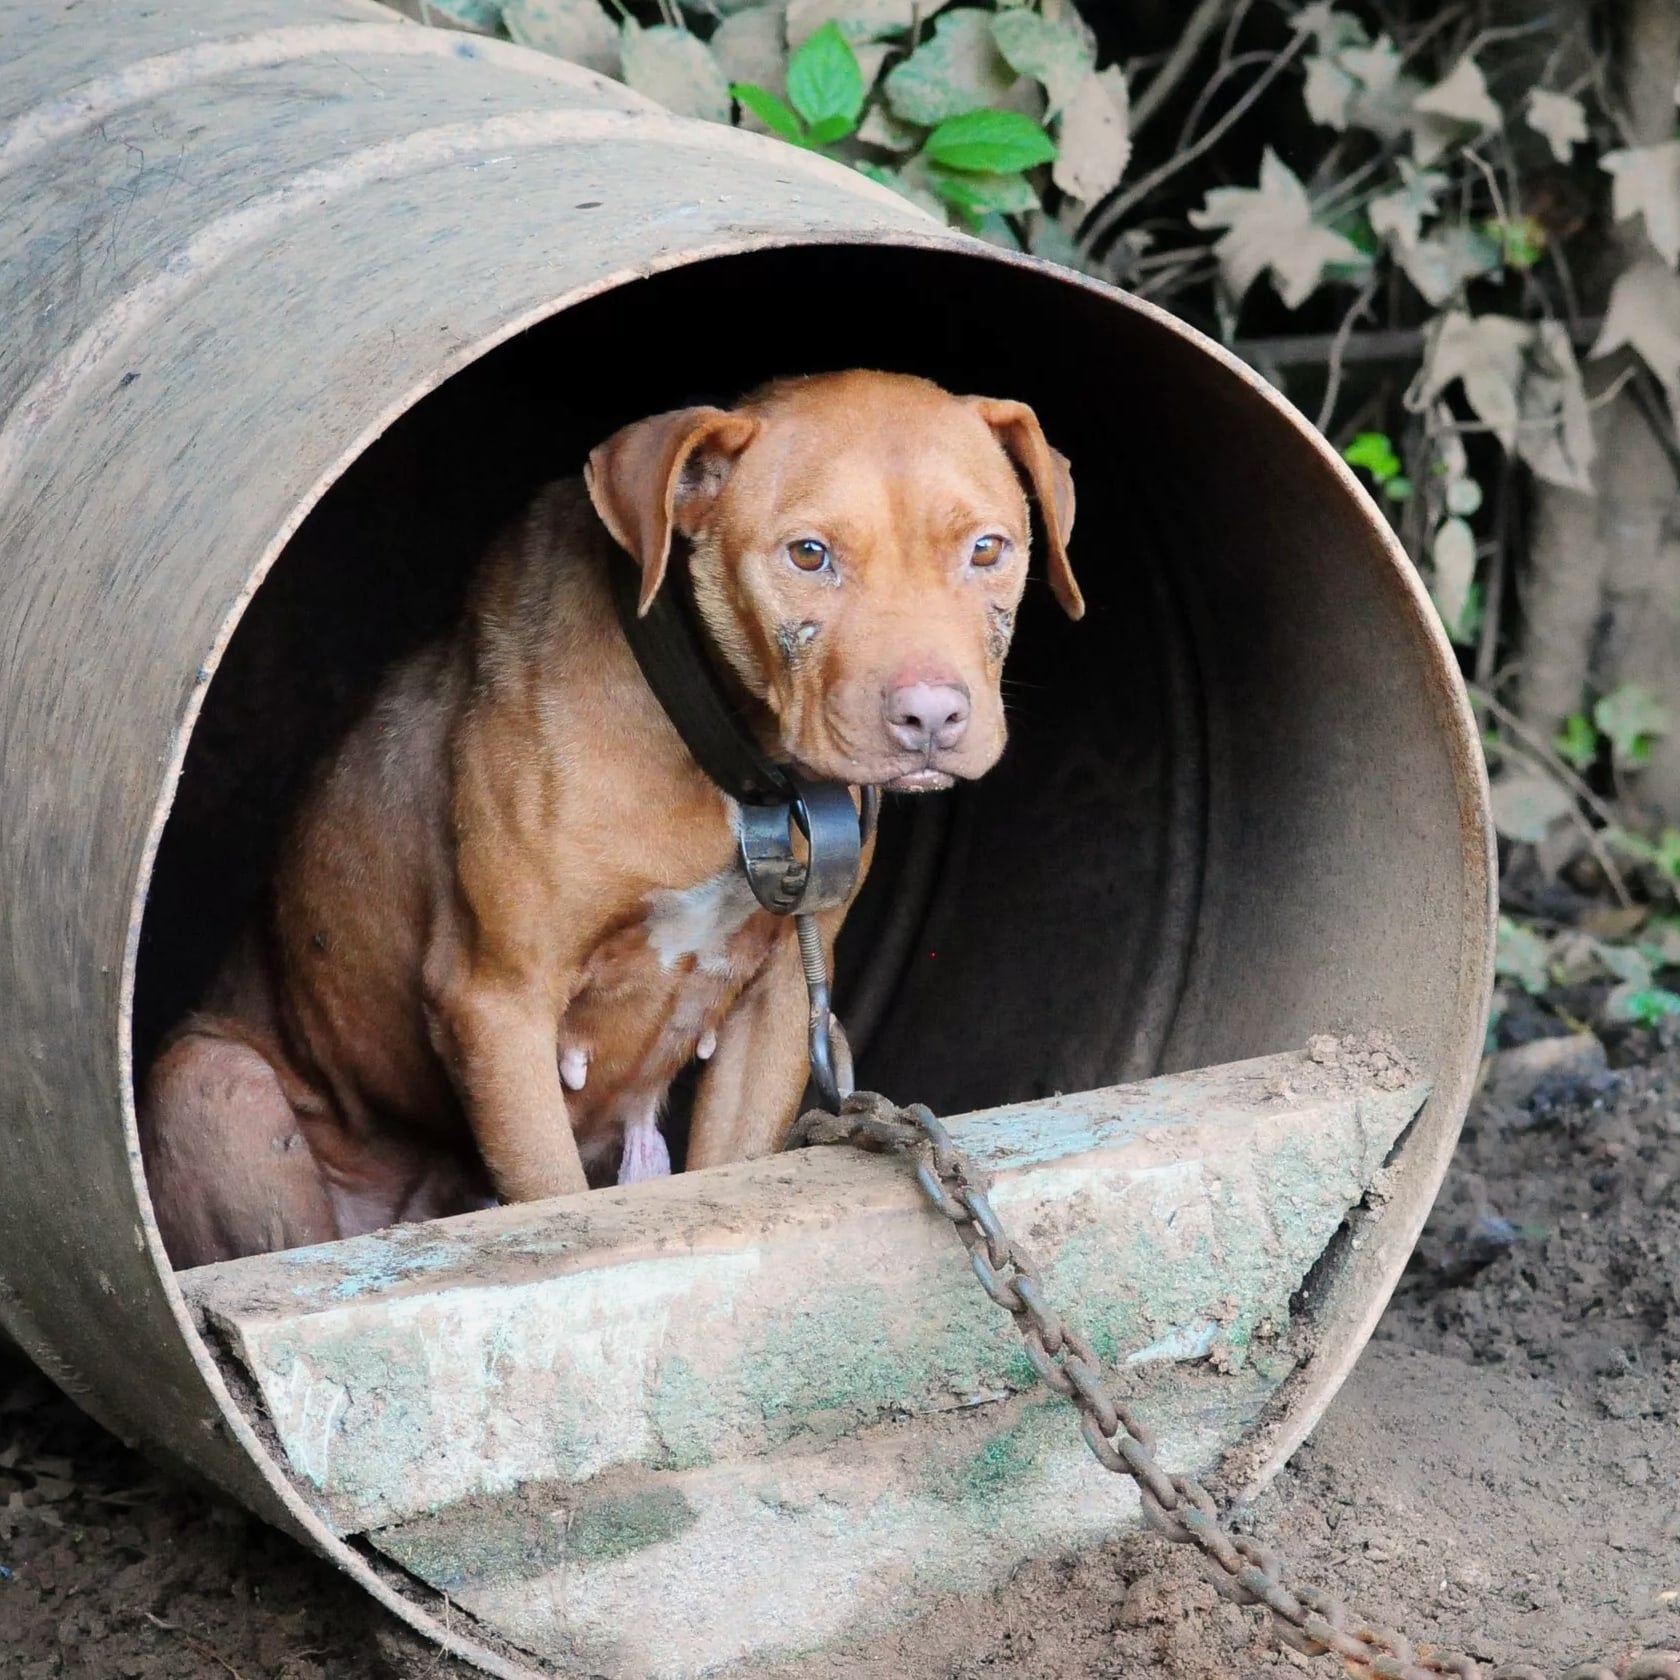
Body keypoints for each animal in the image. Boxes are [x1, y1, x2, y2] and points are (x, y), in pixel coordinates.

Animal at [137, 367, 1081, 1263]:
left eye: (988, 548)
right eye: (809, 555)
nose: (931, 717)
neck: (736, 772)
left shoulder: (777, 1001)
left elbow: (733, 1162)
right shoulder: (499, 1002)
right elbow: (555, 1203)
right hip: (213, 1082)